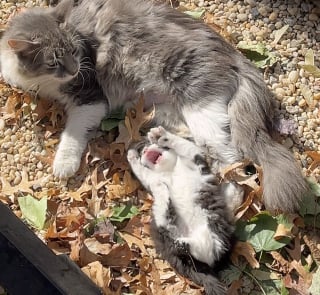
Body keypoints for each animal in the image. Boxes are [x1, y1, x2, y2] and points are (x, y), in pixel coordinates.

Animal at [0, 0, 308, 213]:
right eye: (54, 61)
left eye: (75, 51)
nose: (75, 69)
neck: (41, 82)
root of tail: (237, 57)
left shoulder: (90, 99)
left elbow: (72, 135)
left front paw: (64, 165)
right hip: (169, 113)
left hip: (201, 111)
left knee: (233, 164)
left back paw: (227, 202)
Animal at [126, 126, 234, 294]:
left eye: (147, 146)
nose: (143, 150)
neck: (169, 170)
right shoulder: (150, 179)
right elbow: (143, 173)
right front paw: (133, 157)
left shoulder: (196, 158)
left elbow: (184, 145)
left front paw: (161, 136)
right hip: (173, 234)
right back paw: (162, 196)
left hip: (214, 228)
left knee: (201, 250)